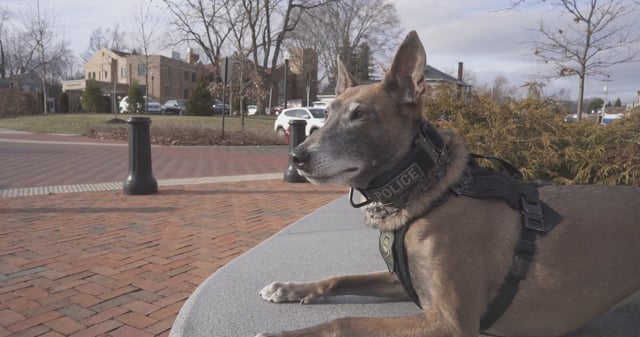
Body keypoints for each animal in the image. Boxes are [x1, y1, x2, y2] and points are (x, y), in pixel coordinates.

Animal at [256, 31, 640, 336]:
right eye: (329, 111)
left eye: (360, 114)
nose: (297, 156)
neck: (428, 192)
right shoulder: (405, 282)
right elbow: (340, 279)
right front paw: (290, 288)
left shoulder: (449, 322)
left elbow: (344, 322)